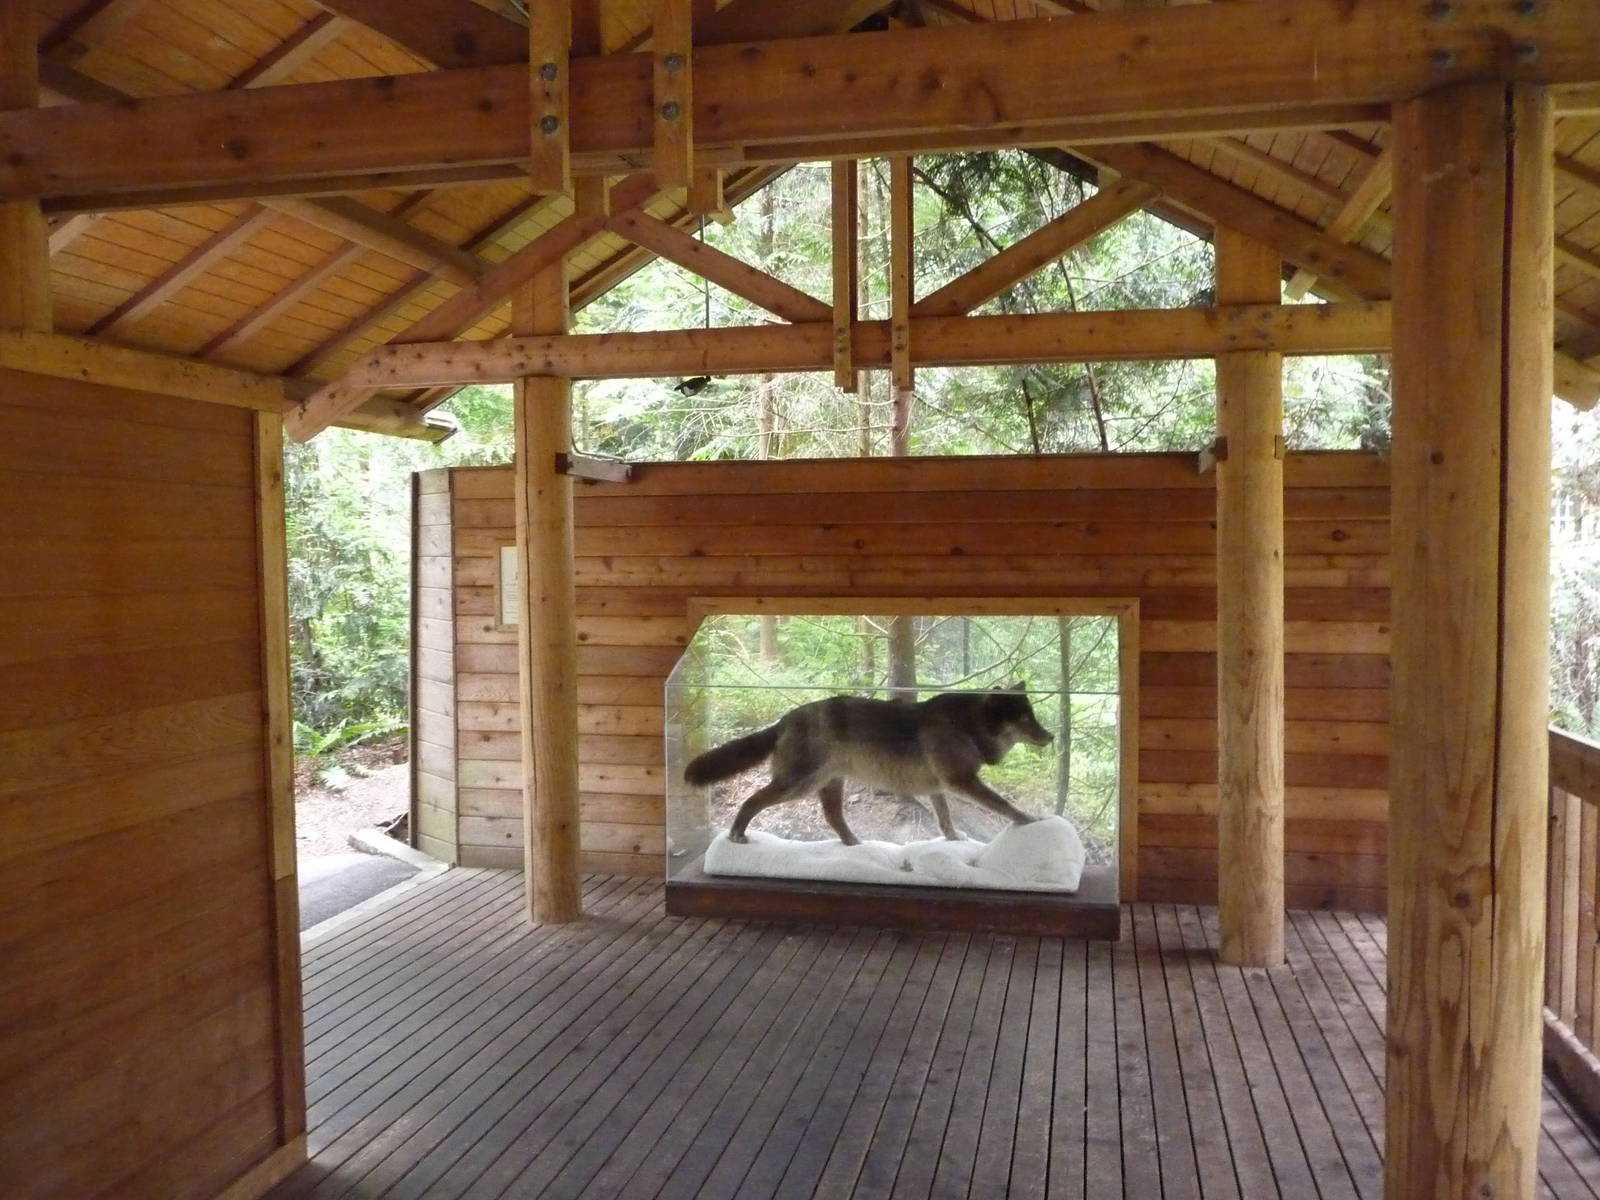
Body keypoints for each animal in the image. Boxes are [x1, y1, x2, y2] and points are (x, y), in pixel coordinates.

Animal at [683, 682, 1054, 846]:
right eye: (1025, 719)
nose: (1051, 736)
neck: (967, 725)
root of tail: (784, 720)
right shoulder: (962, 782)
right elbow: (1004, 805)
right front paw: (1031, 821)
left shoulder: (938, 788)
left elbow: (945, 818)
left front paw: (953, 840)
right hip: (796, 786)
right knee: (751, 801)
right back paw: (736, 835)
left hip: (829, 786)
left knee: (833, 818)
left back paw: (855, 846)